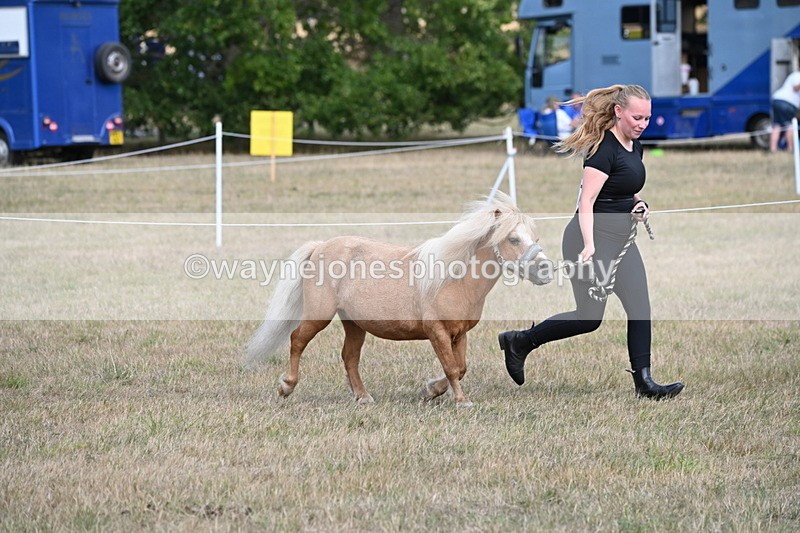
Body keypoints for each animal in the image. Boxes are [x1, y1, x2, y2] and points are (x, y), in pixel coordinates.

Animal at [244, 192, 552, 407]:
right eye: (513, 239)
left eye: (536, 238)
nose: (545, 269)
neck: (453, 278)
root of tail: (321, 247)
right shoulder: (437, 331)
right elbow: (452, 367)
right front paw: (461, 401)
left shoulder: (459, 333)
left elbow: (461, 367)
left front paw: (431, 391)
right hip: (319, 315)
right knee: (297, 339)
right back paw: (287, 386)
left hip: (354, 323)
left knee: (349, 357)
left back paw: (363, 396)